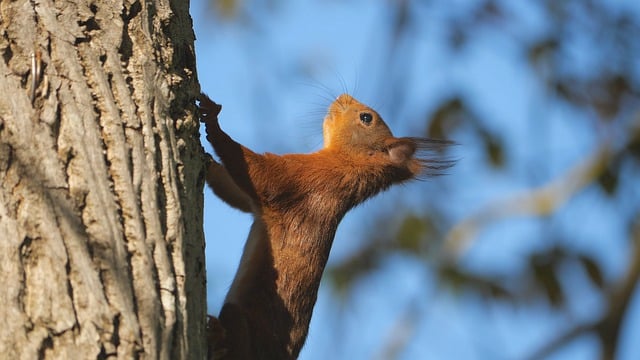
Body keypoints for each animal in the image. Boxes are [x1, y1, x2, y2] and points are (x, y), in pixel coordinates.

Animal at [200, 93, 456, 360]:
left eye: (366, 118)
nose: (343, 96)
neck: (346, 163)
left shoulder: (304, 178)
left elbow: (256, 172)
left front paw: (214, 122)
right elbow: (236, 194)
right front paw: (206, 159)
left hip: (244, 326)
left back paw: (219, 338)